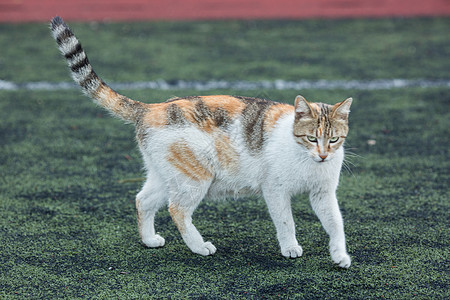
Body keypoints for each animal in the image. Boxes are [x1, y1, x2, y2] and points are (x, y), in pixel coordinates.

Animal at [49, 15, 352, 268]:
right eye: (311, 138)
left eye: (333, 140)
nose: (323, 155)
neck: (307, 160)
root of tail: (151, 108)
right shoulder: (275, 190)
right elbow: (286, 222)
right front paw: (290, 248)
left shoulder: (324, 193)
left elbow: (337, 224)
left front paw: (340, 256)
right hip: (195, 177)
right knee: (177, 209)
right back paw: (199, 246)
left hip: (165, 175)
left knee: (143, 200)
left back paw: (149, 240)